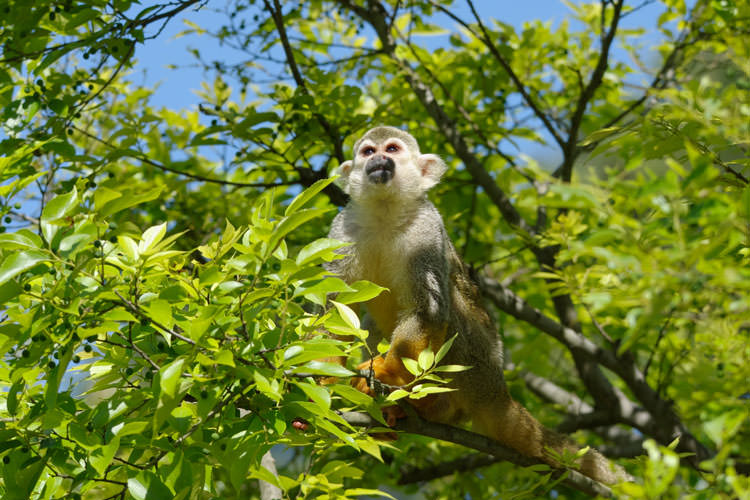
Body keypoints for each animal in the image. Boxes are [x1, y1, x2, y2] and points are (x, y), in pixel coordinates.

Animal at [328, 125, 628, 484]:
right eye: (368, 152)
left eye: (392, 149)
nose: (380, 161)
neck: (385, 211)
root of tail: (497, 389)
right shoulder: (342, 229)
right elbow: (331, 310)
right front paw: (321, 379)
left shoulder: (428, 229)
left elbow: (428, 311)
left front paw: (388, 371)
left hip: (474, 368)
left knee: (449, 306)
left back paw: (423, 403)